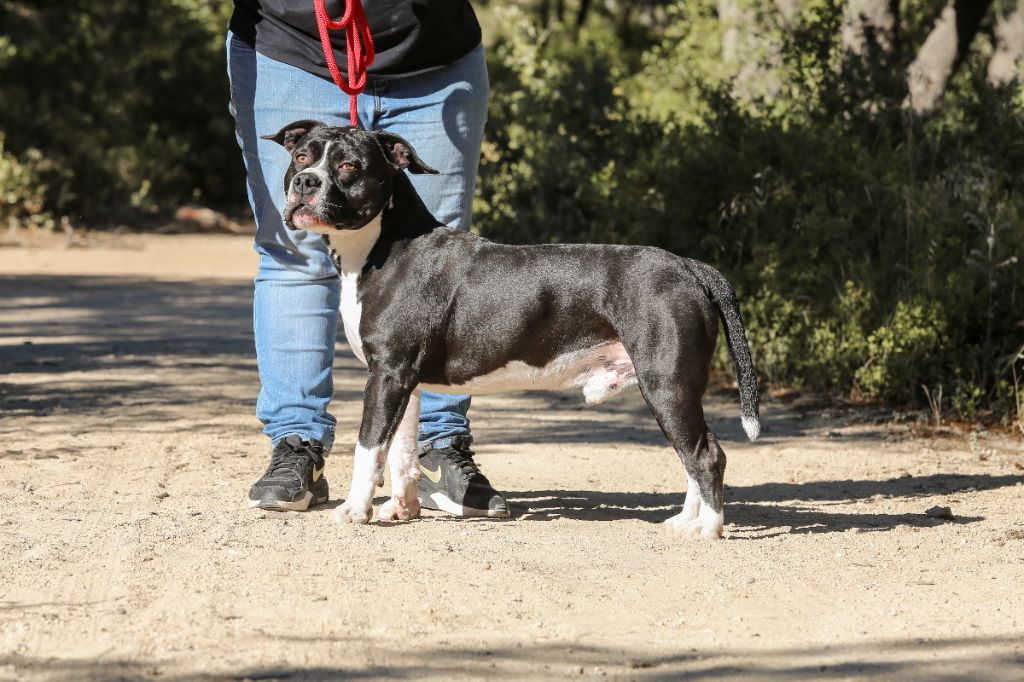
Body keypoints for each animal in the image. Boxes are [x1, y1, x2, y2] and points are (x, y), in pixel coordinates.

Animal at [263, 120, 760, 539]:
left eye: (349, 166)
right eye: (302, 157)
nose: (306, 182)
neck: (383, 244)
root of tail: (688, 266)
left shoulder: (386, 375)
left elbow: (369, 449)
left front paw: (354, 510)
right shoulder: (404, 381)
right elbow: (400, 451)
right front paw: (400, 509)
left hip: (666, 383)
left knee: (705, 454)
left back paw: (709, 528)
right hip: (674, 388)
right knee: (693, 451)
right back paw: (686, 521)